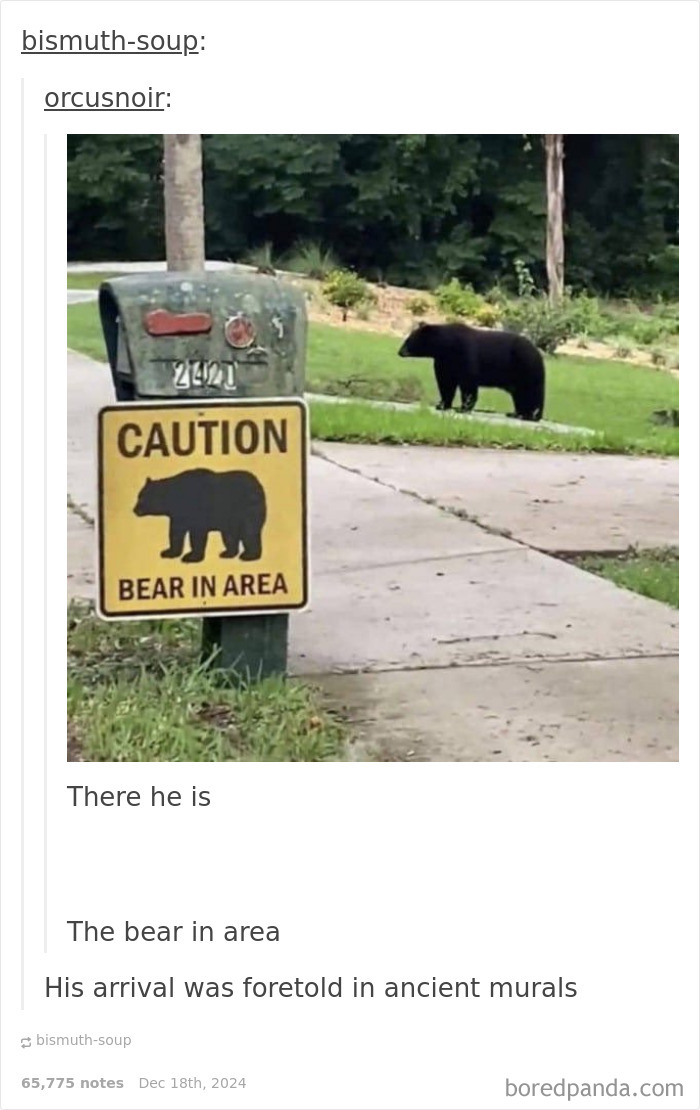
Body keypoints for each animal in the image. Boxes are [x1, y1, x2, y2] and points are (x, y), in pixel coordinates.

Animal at [133, 469, 267, 564]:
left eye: (142, 497)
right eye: (139, 496)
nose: (134, 510)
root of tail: (258, 484)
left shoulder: (197, 510)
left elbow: (197, 534)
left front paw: (191, 557)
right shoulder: (178, 516)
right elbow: (176, 533)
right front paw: (168, 552)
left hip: (247, 509)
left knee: (249, 533)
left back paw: (249, 556)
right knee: (230, 536)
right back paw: (227, 553)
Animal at [398, 322, 546, 421]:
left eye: (408, 340)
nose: (400, 352)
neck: (446, 346)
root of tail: (538, 352)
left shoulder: (464, 353)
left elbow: (468, 382)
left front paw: (463, 408)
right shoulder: (444, 362)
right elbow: (446, 383)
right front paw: (442, 404)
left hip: (526, 368)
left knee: (531, 392)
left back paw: (530, 415)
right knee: (520, 395)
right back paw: (516, 413)